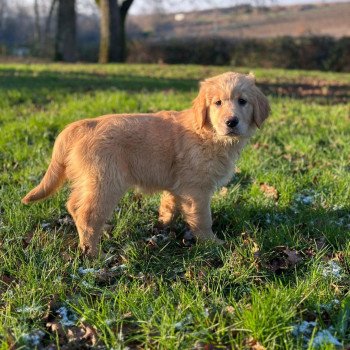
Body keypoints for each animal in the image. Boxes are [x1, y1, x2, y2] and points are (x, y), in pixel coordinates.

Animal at [22, 72, 270, 258]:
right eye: (217, 103)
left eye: (242, 101)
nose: (231, 122)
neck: (208, 133)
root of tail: (81, 125)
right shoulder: (196, 189)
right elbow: (203, 218)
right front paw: (212, 243)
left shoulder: (178, 186)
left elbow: (169, 205)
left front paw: (162, 226)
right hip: (106, 182)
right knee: (88, 215)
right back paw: (93, 253)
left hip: (90, 180)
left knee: (74, 205)